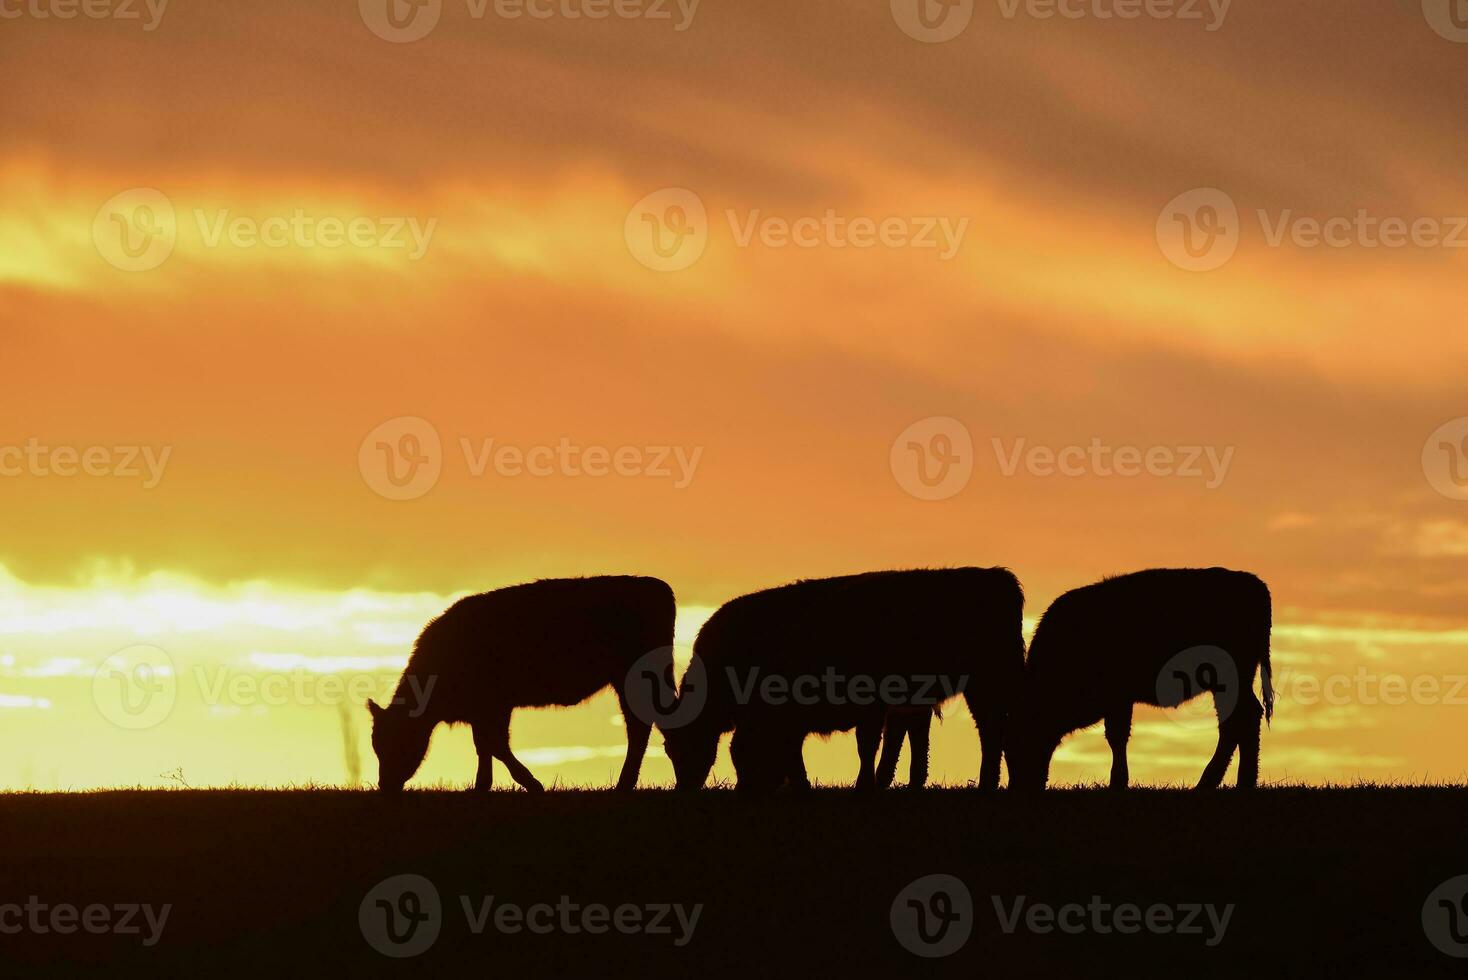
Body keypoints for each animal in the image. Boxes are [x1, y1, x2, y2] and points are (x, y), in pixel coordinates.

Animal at [372, 575, 681, 798]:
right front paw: (481, 786)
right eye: (376, 745)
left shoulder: (495, 706)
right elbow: (483, 746)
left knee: (645, 726)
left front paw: (532, 784)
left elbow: (496, 745)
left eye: (398, 740)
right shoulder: (480, 712)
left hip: (638, 679)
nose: (385, 785)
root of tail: (656, 585)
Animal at [660, 569, 1027, 792]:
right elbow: (797, 752)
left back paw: (986, 783)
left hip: (987, 683)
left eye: (685, 743)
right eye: (668, 750)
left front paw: (862, 785)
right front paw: (803, 785)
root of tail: (997, 576)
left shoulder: (868, 706)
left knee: (991, 730)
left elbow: (866, 745)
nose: (685, 787)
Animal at [1009, 569, 1274, 792]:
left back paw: (1221, 783)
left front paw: (1117, 783)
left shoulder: (1118, 699)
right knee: (1241, 719)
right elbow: (1117, 737)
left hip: (1228, 680)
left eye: (1020, 741)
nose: (1019, 787)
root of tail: (1255, 584)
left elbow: (1116, 737)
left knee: (1240, 719)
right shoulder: (1119, 701)